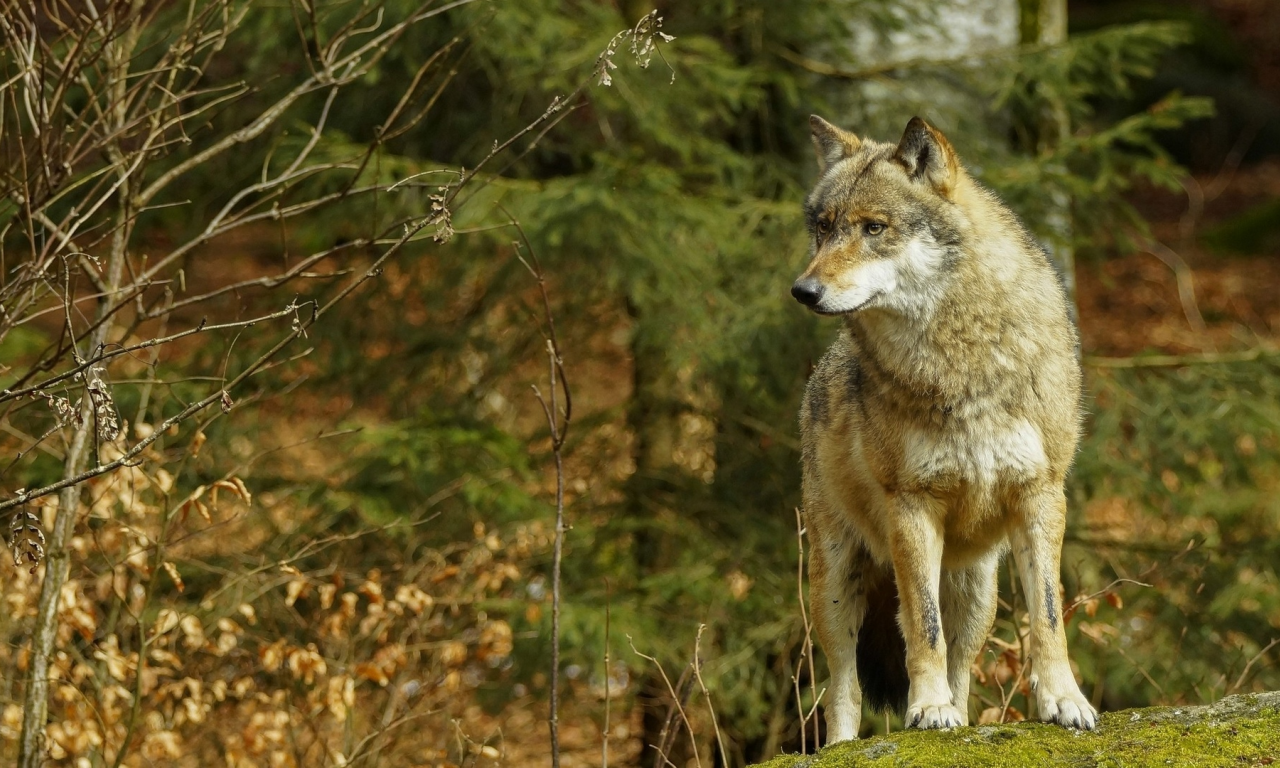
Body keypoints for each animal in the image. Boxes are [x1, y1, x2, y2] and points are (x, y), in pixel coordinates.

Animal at [788, 110, 1100, 742]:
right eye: (824, 229)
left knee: (960, 665)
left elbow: (1049, 617)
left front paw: (1064, 701)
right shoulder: (912, 505)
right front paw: (927, 708)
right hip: (836, 584)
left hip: (977, 593)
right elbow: (922, 630)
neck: (962, 359)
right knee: (844, 684)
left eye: (874, 228)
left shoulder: (1042, 494)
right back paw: (846, 743)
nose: (803, 290)